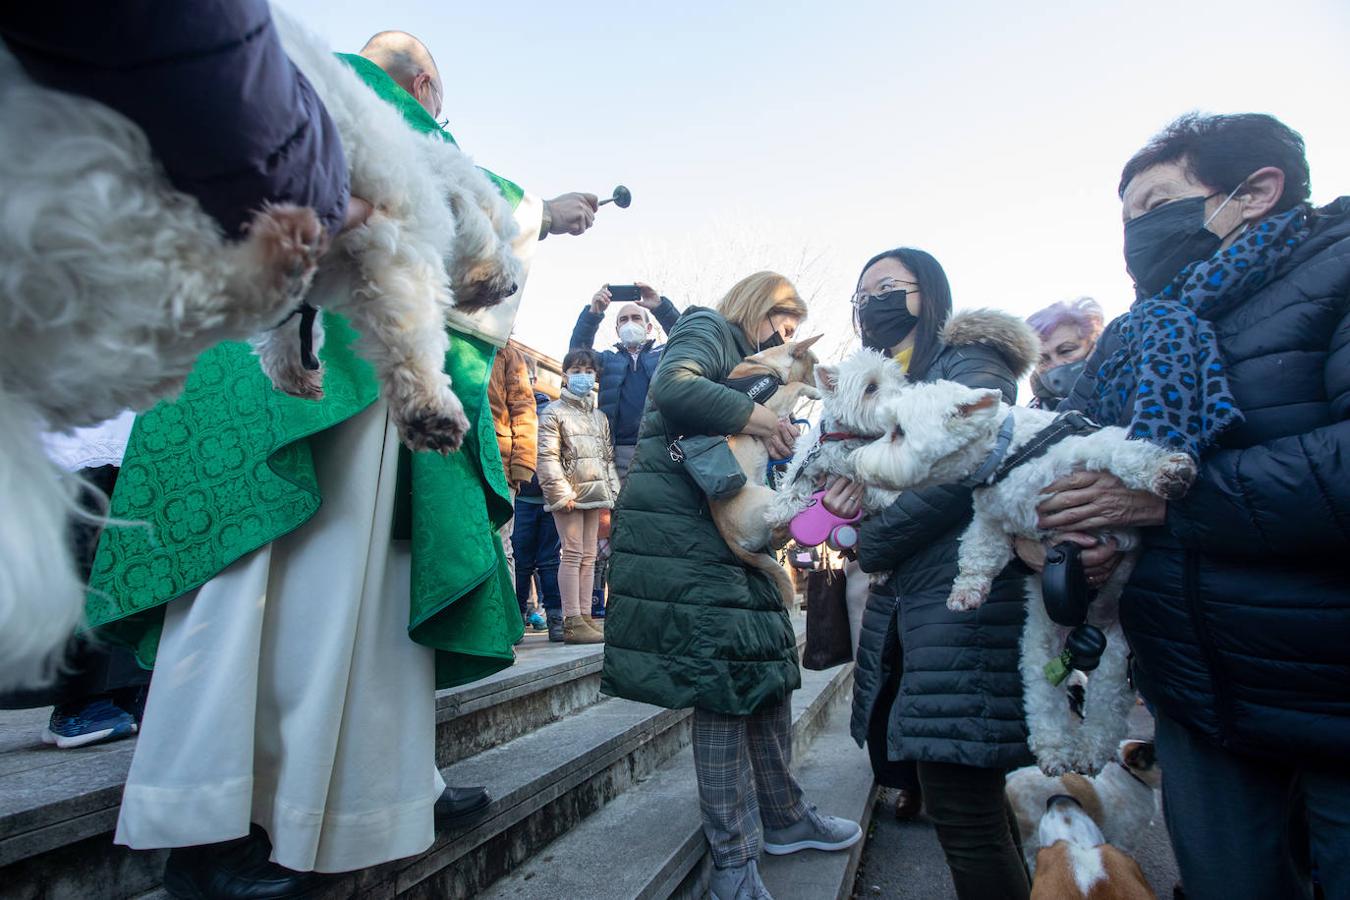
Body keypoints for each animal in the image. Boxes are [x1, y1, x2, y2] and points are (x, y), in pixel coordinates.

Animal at [707, 334, 820, 609]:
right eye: (814, 364)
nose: (823, 381)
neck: (764, 366)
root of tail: (732, 542)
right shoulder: (772, 403)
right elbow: (795, 386)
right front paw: (814, 391)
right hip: (768, 498)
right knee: (778, 526)